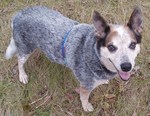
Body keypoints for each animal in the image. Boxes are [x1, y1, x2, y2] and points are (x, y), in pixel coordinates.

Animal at [5, 6, 142, 111]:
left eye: (132, 45)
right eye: (111, 47)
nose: (126, 66)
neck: (96, 55)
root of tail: (18, 14)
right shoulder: (86, 85)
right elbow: (84, 98)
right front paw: (86, 106)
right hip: (25, 48)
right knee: (19, 60)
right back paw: (22, 75)